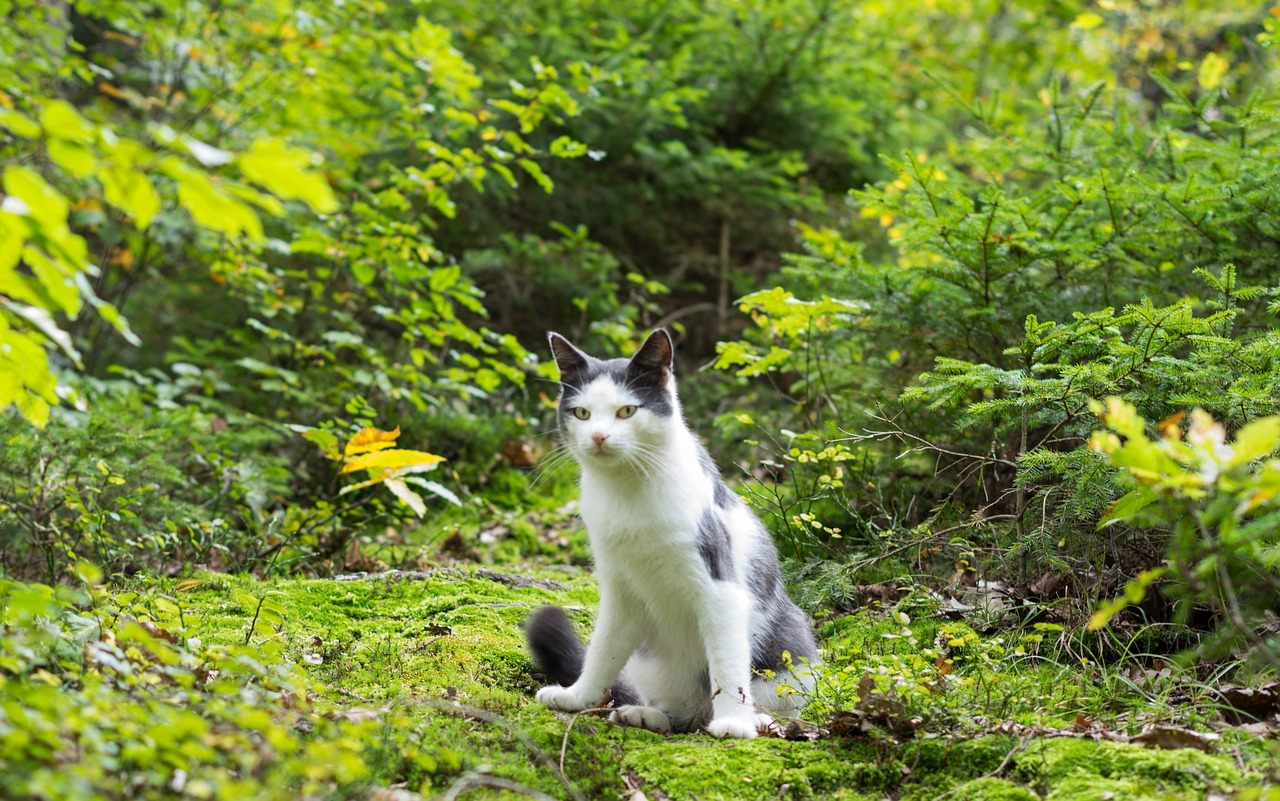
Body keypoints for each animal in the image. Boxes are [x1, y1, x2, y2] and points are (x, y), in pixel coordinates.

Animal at [527, 326, 819, 737]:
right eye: (582, 413)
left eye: (627, 410)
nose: (598, 436)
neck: (629, 491)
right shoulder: (619, 591)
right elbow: (603, 650)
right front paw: (577, 697)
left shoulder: (721, 588)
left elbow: (727, 666)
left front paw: (734, 723)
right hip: (650, 664)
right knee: (682, 716)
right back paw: (647, 715)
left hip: (791, 648)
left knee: (773, 699)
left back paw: (757, 719)